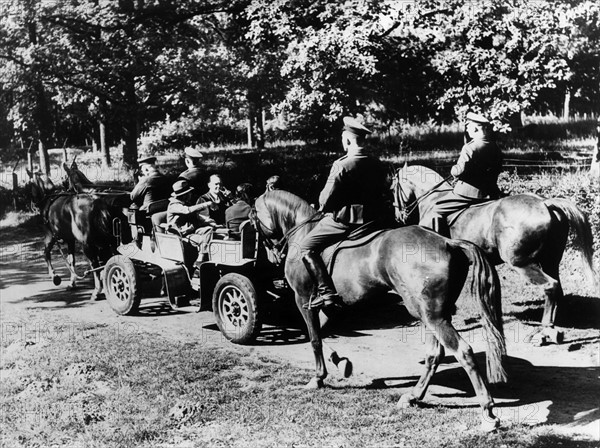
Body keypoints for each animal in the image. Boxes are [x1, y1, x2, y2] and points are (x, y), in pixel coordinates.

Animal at [26, 167, 117, 298]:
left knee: (95, 263)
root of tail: (95, 201)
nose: (33, 204)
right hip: (105, 240)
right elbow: (71, 260)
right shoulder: (70, 240)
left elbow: (46, 253)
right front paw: (72, 282)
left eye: (29, 184)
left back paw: (97, 290)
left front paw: (54, 276)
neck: (49, 198)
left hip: (87, 244)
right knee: (107, 258)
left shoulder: (50, 236)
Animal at [251, 190, 508, 430]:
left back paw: (487, 410)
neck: (303, 229)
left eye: (253, 219)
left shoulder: (303, 299)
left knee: (463, 351)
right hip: (431, 315)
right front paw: (340, 362)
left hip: (431, 316)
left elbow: (314, 339)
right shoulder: (326, 307)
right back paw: (413, 397)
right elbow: (323, 336)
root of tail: (448, 242)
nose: (271, 255)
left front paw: (318, 378)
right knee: (435, 354)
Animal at [394, 164, 596, 344]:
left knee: (550, 286)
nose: (399, 216)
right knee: (557, 290)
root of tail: (545, 203)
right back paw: (552, 329)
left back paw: (544, 332)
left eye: (392, 188)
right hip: (551, 262)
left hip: (522, 263)